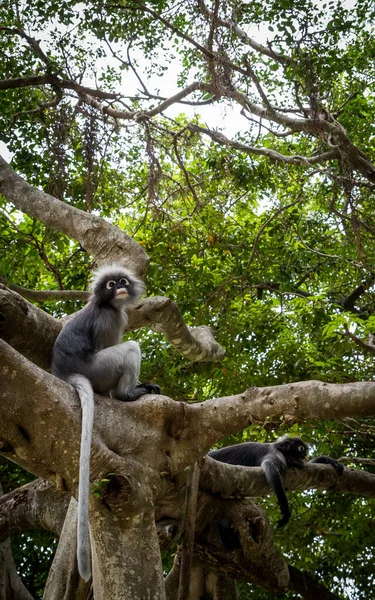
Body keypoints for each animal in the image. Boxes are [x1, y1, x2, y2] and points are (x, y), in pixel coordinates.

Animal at [210, 436, 346, 524]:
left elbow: (309, 466)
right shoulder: (275, 453)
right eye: (301, 449)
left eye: (304, 451)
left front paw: (331, 461)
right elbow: (270, 467)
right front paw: (286, 511)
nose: (305, 455)